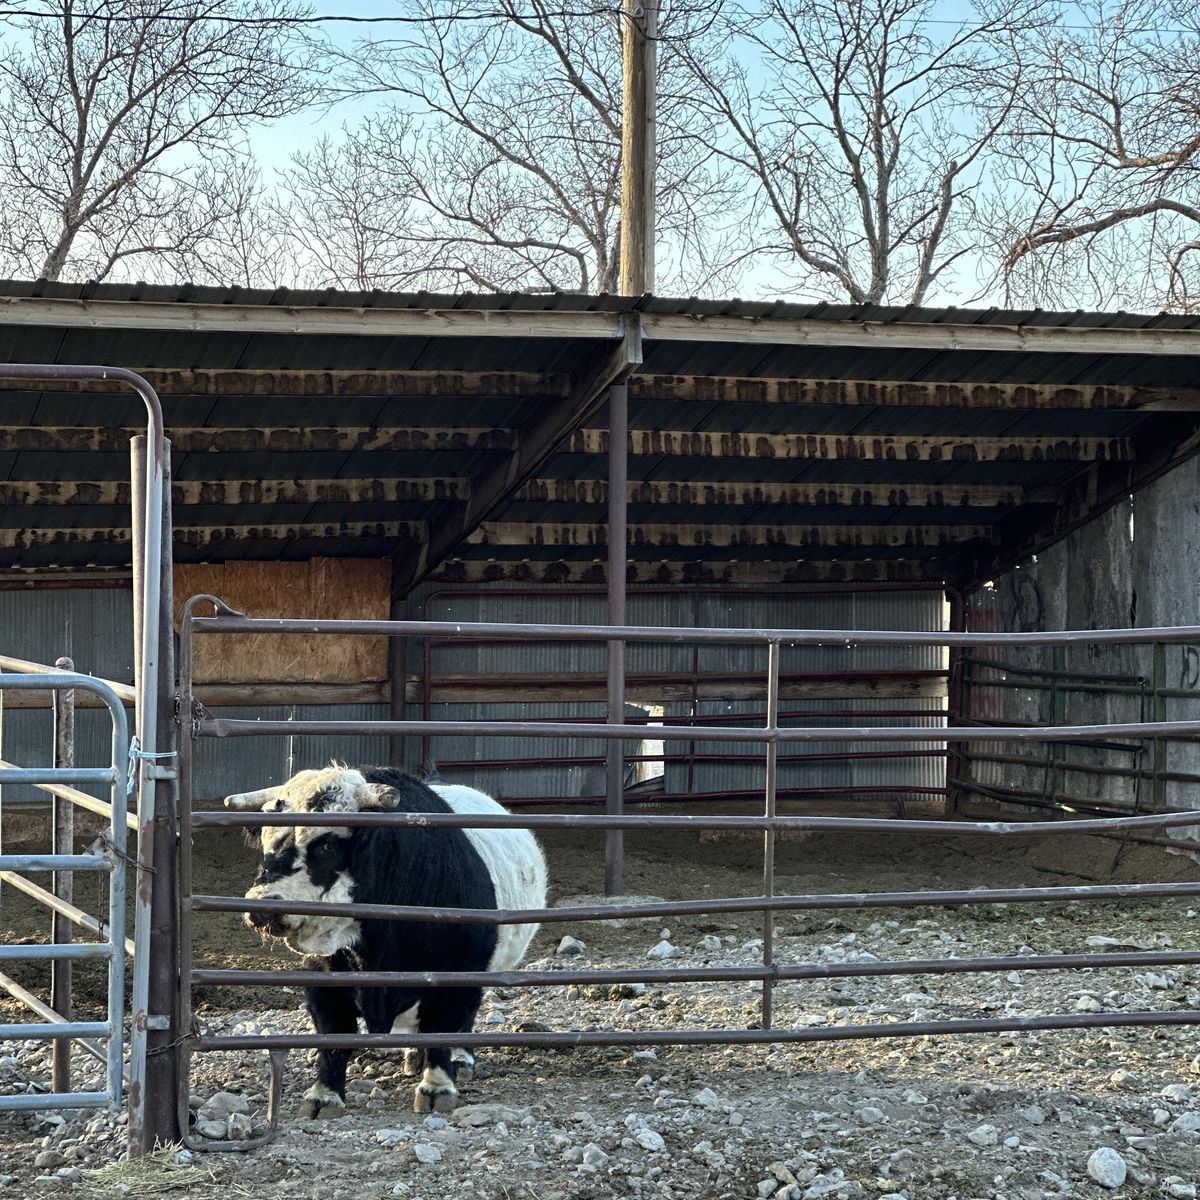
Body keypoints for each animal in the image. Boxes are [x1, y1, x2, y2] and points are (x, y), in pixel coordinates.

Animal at [225, 764, 548, 1118]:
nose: (261, 904)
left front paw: (437, 1085)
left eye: (326, 845)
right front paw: (324, 1094)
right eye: (266, 842)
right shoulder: (320, 974)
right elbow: (334, 1034)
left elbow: (443, 1027)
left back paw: (460, 1059)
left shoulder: (459, 971)